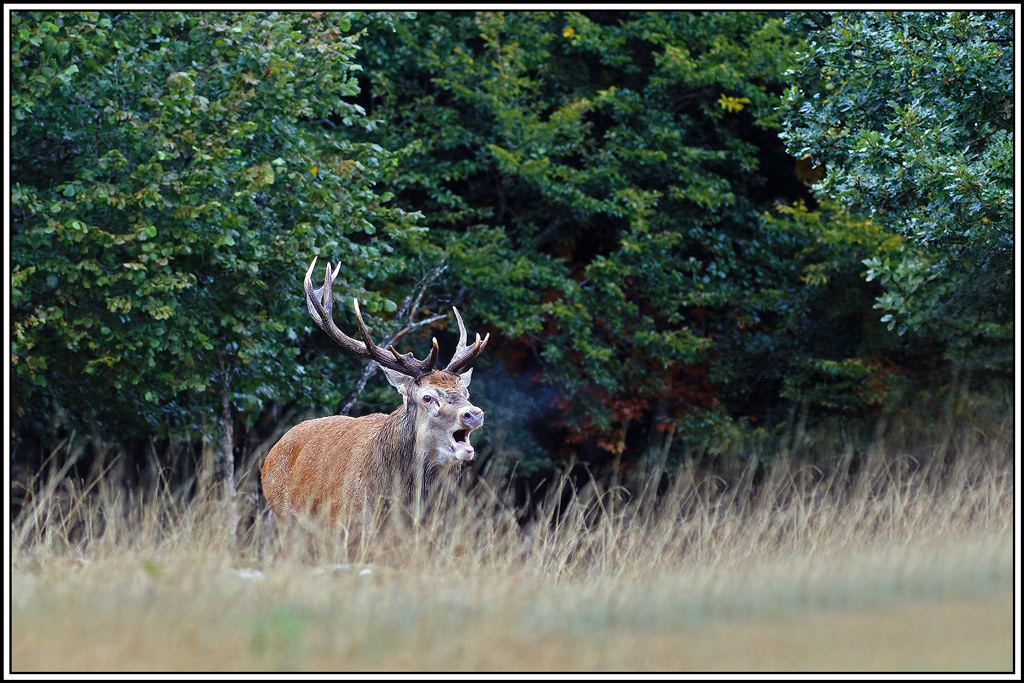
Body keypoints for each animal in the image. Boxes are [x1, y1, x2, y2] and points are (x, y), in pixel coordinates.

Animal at [260, 257, 489, 559]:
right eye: (428, 397)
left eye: (465, 392)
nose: (474, 414)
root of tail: (271, 454)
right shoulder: (348, 533)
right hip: (285, 521)